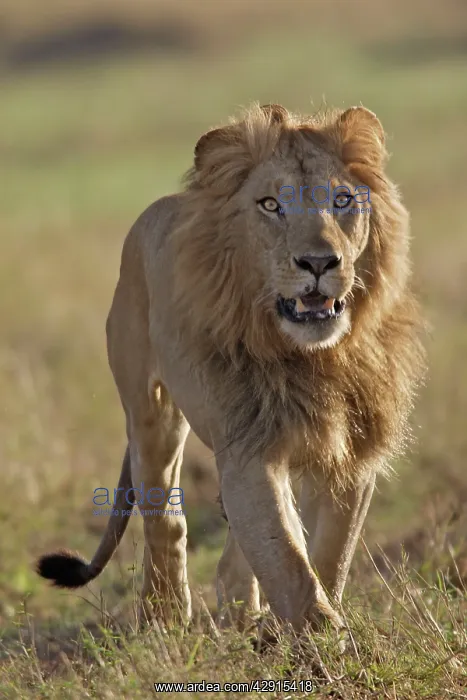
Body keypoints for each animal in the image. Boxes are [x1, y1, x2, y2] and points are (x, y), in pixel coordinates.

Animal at [36, 103, 425, 633]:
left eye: (343, 199)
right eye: (270, 205)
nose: (319, 262)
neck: (311, 355)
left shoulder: (353, 450)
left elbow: (329, 554)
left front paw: (307, 628)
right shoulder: (247, 448)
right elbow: (287, 559)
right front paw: (321, 638)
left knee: (230, 556)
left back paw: (244, 621)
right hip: (151, 413)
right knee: (165, 519)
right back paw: (164, 617)